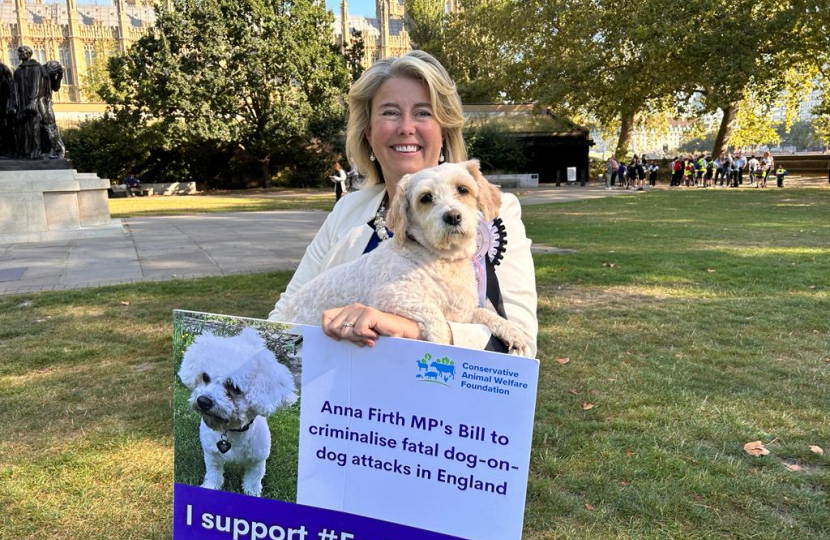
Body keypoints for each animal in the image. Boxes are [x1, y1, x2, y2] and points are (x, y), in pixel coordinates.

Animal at [177, 326, 298, 496]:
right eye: (205, 377)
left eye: (234, 387)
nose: (203, 401)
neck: (232, 431)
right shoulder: (212, 456)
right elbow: (214, 475)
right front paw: (210, 487)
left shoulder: (257, 461)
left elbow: (253, 481)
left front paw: (252, 493)